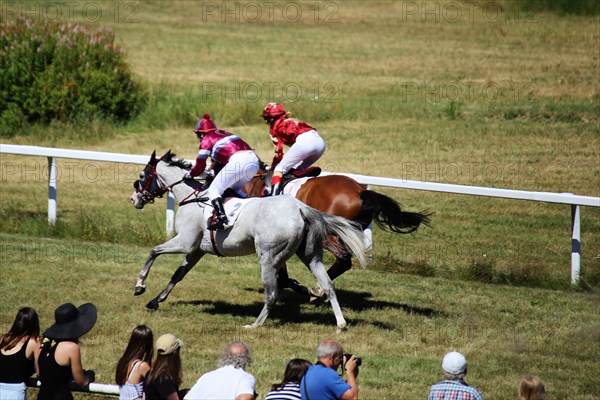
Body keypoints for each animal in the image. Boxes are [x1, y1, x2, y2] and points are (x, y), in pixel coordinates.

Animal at [129, 151, 368, 332]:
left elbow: (154, 251)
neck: (193, 196)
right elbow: (178, 274)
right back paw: (339, 323)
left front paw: (140, 285)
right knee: (328, 285)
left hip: (268, 257)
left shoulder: (185, 242)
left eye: (142, 175)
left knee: (272, 293)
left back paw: (255, 324)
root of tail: (301, 208)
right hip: (310, 255)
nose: (134, 199)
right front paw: (155, 301)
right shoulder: (198, 249)